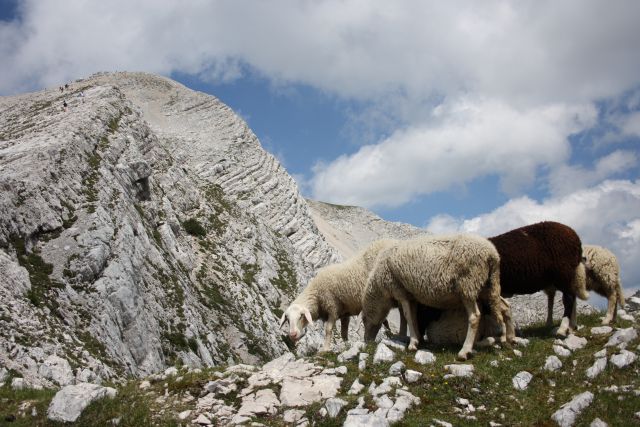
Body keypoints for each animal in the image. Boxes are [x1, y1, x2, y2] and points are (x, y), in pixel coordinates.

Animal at [362, 234, 512, 362]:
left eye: (364, 320)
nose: (366, 341)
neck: (380, 289)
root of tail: (492, 254)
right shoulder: (411, 294)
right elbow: (413, 316)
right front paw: (417, 339)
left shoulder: (400, 290)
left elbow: (407, 316)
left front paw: (413, 343)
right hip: (487, 286)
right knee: (505, 307)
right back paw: (509, 339)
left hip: (468, 284)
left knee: (475, 316)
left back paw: (465, 351)